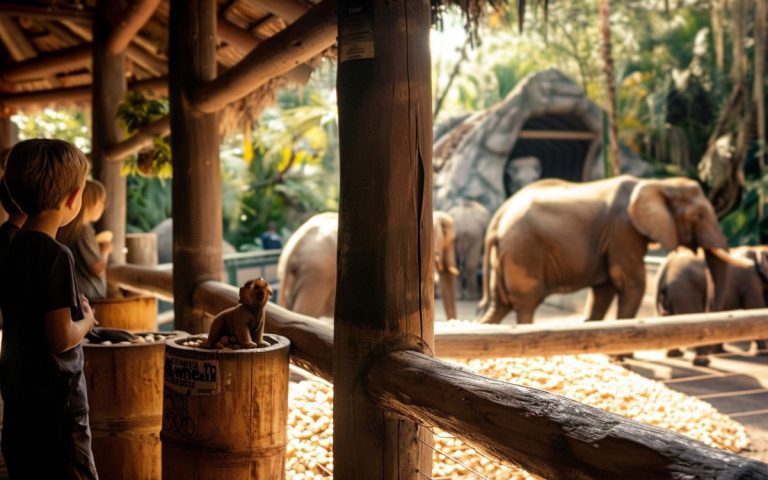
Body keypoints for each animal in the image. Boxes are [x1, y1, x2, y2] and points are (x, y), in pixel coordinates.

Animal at [476, 176, 748, 326]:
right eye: (699, 215)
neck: (657, 183)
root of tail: (497, 218)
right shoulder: (623, 231)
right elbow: (631, 283)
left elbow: (604, 289)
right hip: (524, 252)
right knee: (525, 304)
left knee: (500, 306)